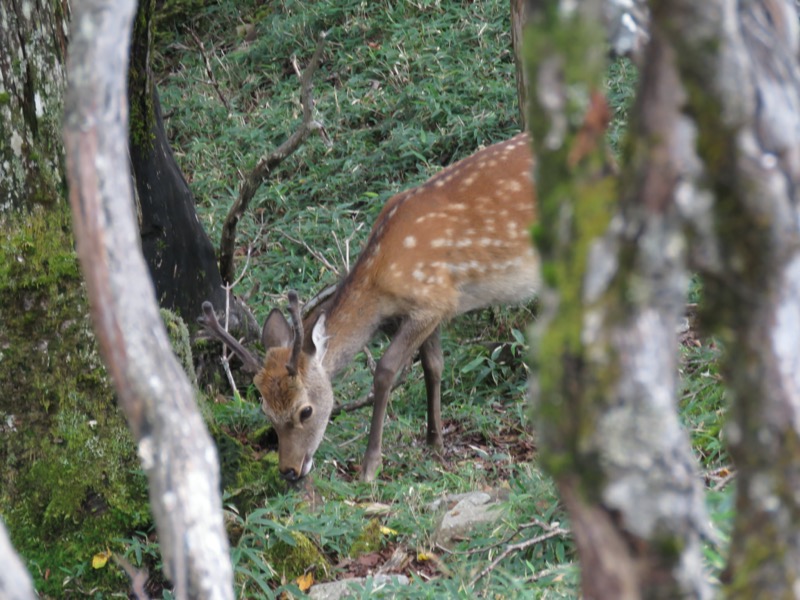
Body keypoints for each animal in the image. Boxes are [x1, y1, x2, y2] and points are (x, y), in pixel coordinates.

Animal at [199, 132, 536, 482]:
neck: (381, 280)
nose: (289, 470)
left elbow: (386, 370)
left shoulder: (432, 300)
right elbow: (433, 366)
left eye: (305, 410)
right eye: (266, 410)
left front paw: (370, 465)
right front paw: (435, 444)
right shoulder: (435, 307)